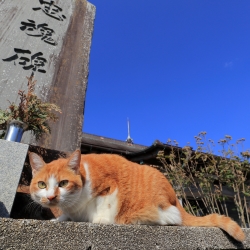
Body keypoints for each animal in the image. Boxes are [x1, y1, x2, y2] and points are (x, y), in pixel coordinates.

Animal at [28, 149, 245, 241]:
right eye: (42, 184)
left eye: (63, 183)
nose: (51, 197)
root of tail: (175, 198)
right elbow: (65, 215)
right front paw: (59, 219)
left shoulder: (109, 188)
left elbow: (104, 205)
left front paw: (99, 220)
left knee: (171, 217)